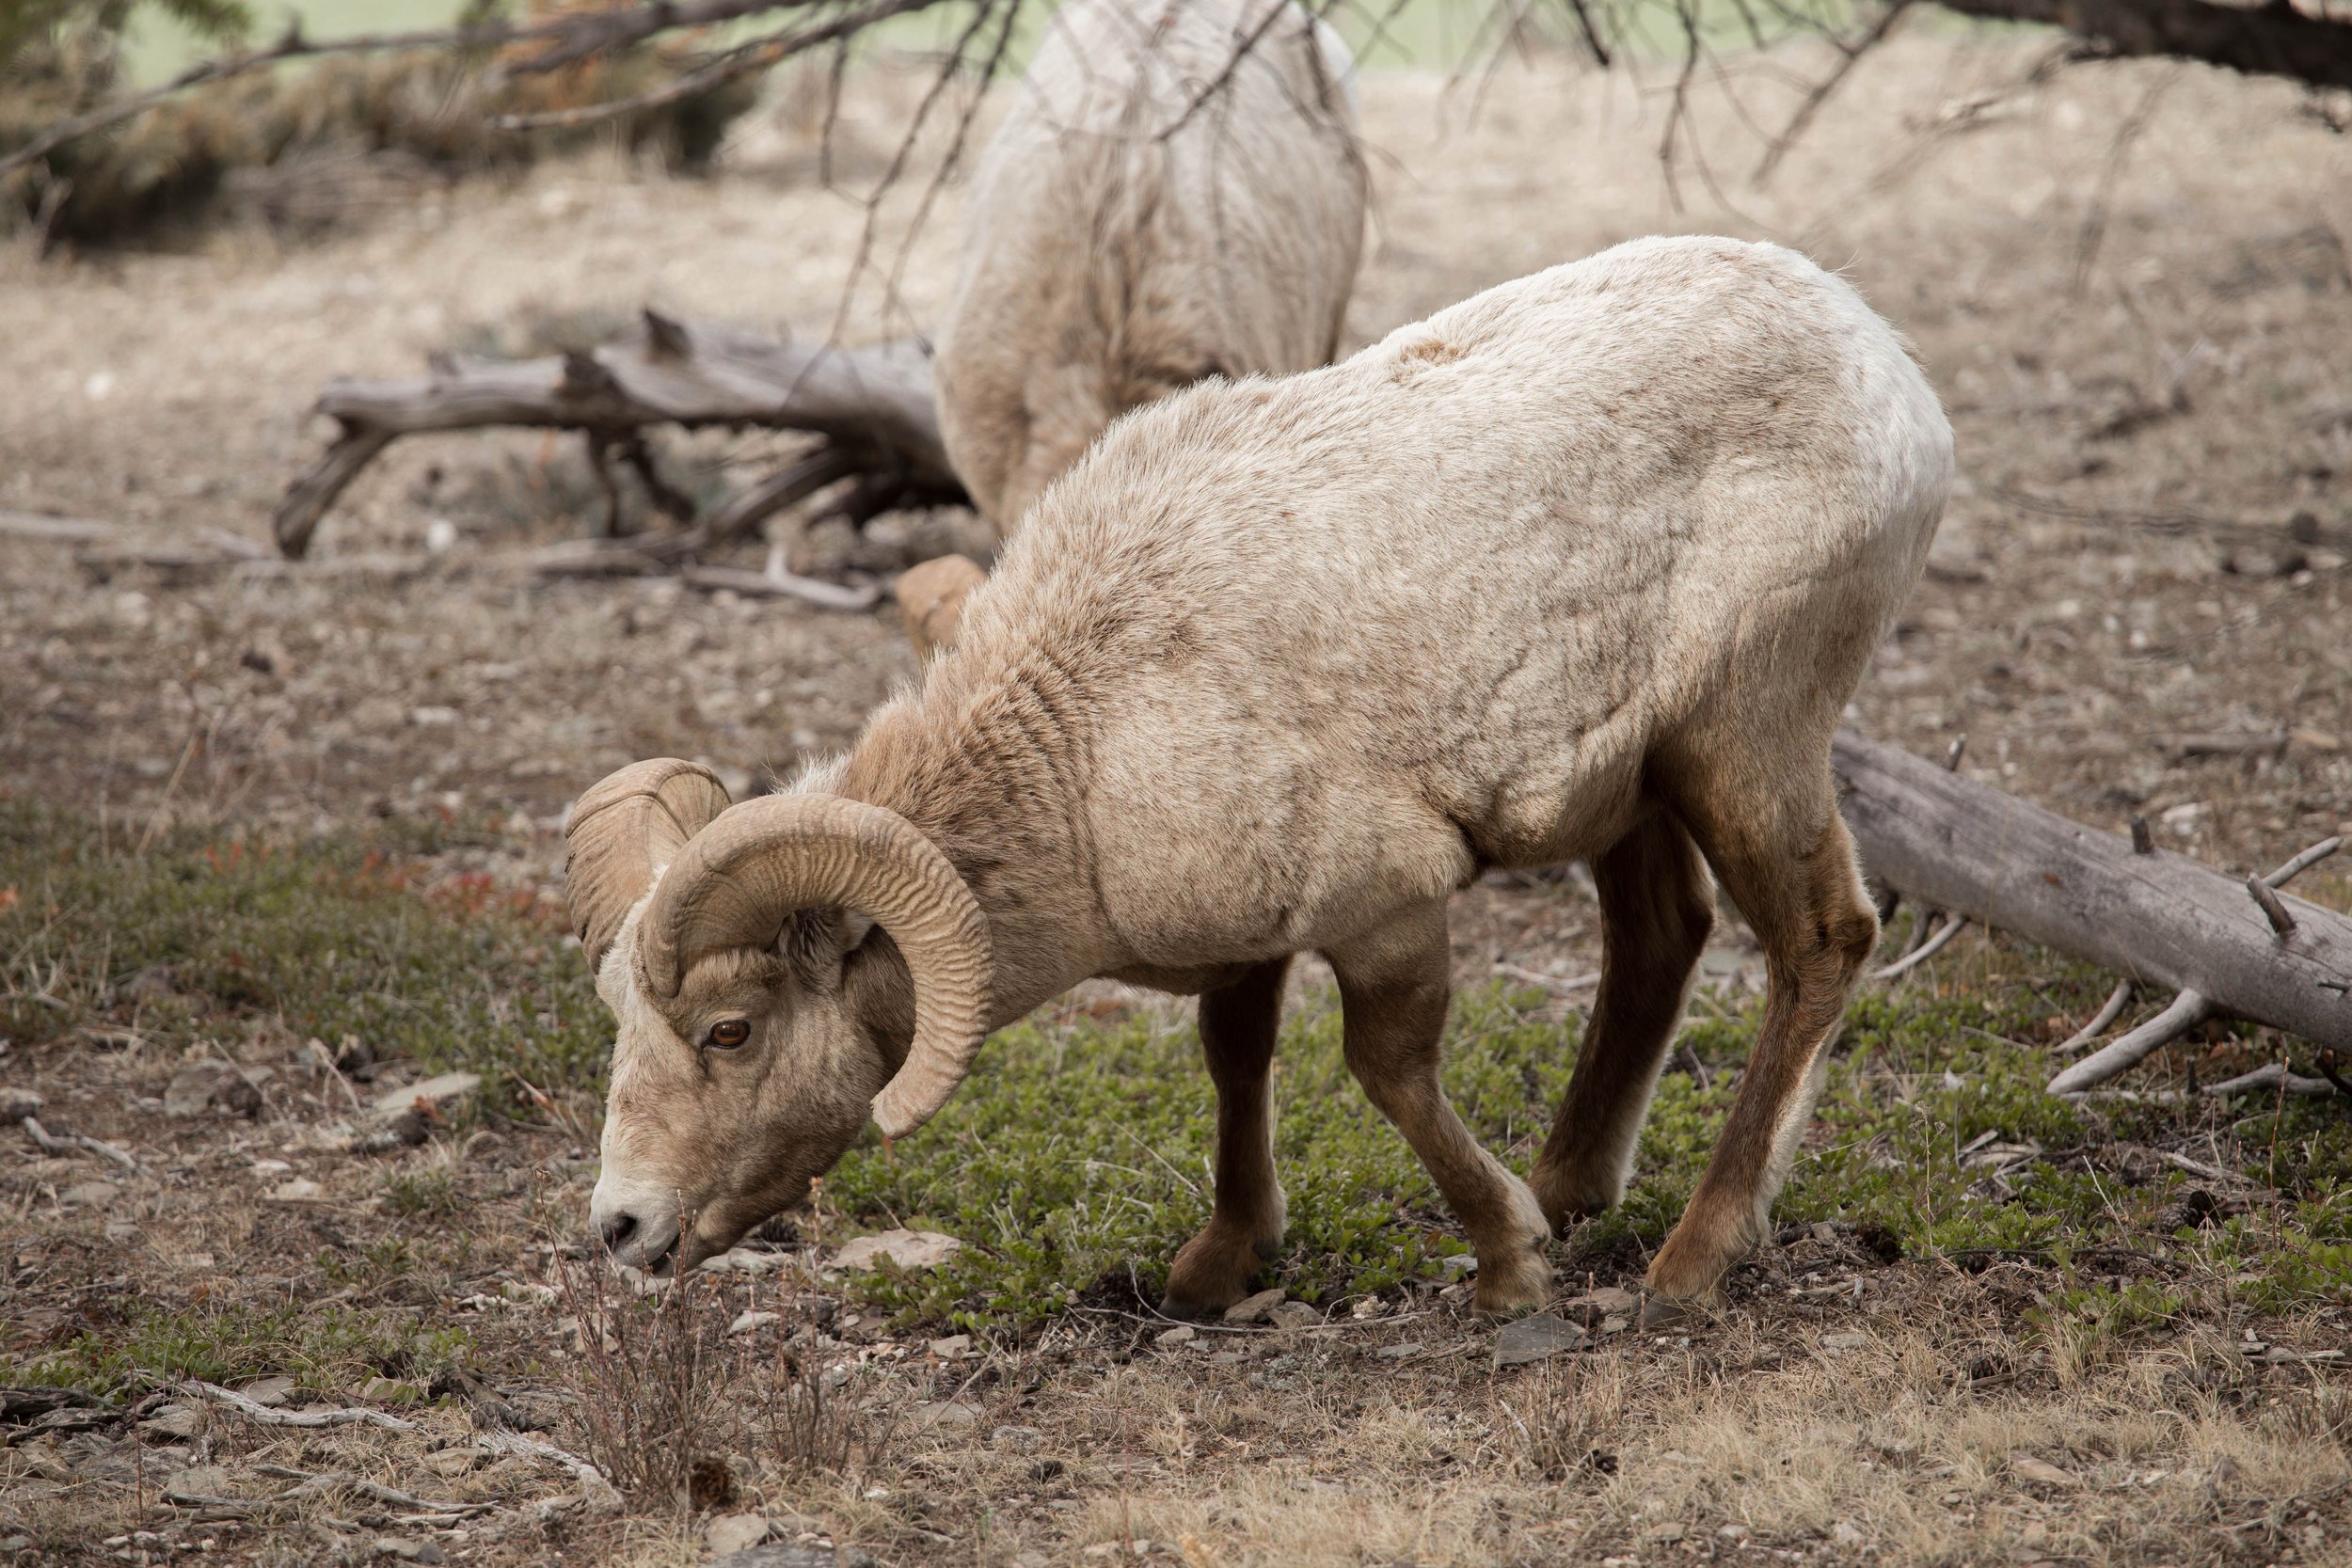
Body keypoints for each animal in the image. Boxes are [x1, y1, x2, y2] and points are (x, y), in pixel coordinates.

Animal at [569, 235, 1954, 1317]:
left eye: (730, 1028)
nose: (624, 1229)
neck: (1089, 738)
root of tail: (1882, 362)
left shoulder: (1387, 908)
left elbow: (1387, 1072)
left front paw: (1509, 1262)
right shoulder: (1248, 939)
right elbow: (1235, 1059)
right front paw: (1222, 1263)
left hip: (1744, 736)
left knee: (1822, 939)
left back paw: (1690, 1258)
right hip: (1633, 782)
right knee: (1660, 937)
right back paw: (1574, 1189)